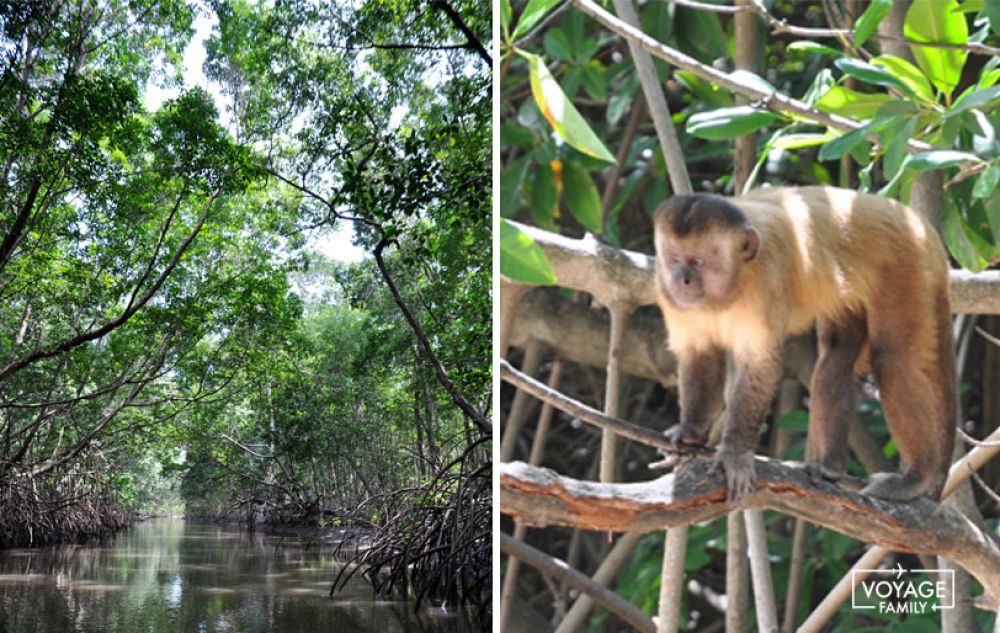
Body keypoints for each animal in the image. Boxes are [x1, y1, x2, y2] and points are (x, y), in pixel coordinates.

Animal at [652, 185, 956, 502]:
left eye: (698, 261)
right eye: (674, 258)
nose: (682, 280)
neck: (733, 283)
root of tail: (918, 223)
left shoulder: (766, 282)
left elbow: (761, 367)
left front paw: (734, 453)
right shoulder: (666, 289)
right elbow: (699, 354)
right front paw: (690, 431)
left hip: (905, 265)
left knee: (892, 361)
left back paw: (917, 477)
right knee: (837, 356)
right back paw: (830, 466)